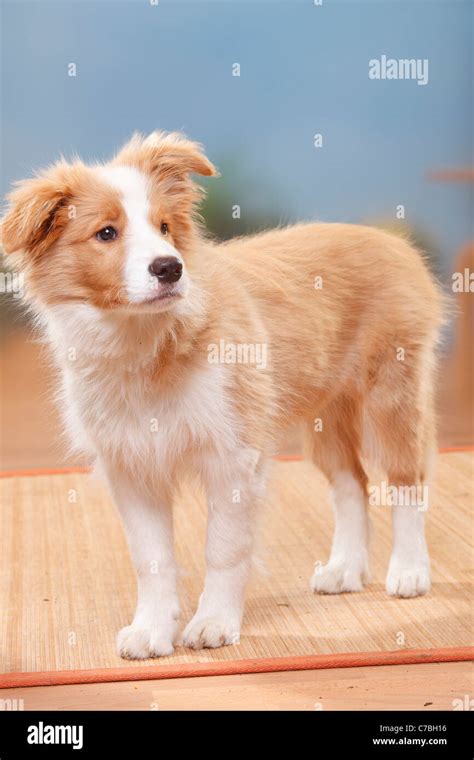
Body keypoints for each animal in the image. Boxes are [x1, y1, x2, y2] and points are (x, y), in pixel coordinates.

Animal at [0, 132, 444, 660]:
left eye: (165, 228)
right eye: (106, 233)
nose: (170, 268)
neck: (145, 346)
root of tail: (393, 242)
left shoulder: (233, 456)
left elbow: (224, 549)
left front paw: (214, 622)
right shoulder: (131, 465)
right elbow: (151, 558)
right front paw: (152, 630)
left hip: (391, 395)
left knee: (405, 479)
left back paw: (410, 572)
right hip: (325, 413)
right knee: (351, 482)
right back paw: (345, 570)